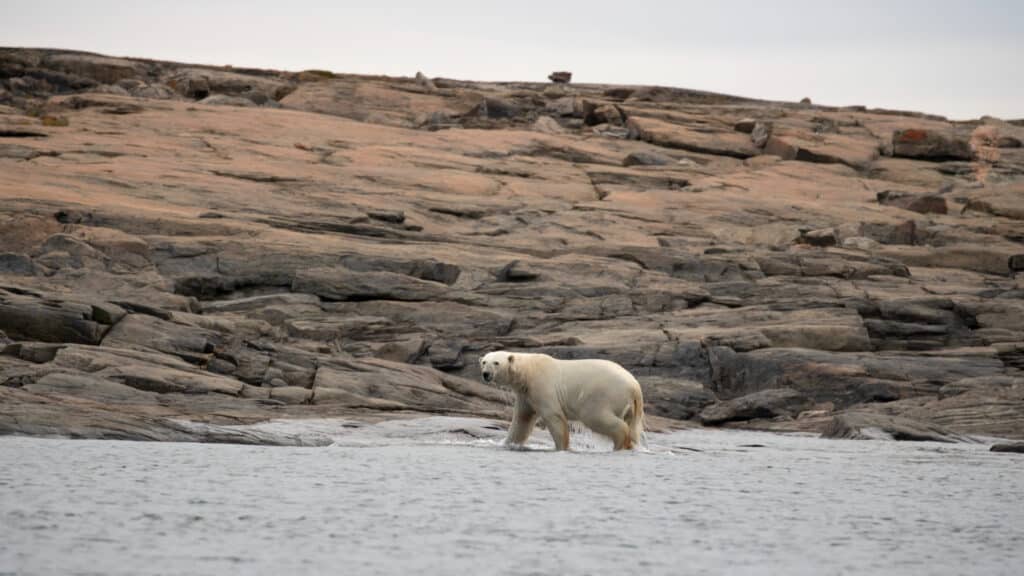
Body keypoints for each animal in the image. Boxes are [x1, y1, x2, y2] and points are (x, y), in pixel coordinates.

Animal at [479, 351, 645, 451]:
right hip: (630, 406)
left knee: (597, 417)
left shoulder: (542, 385)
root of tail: (635, 387)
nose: (486, 374)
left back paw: (619, 444)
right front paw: (508, 444)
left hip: (603, 394)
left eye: (496, 363)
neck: (529, 370)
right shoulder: (526, 394)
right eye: (484, 362)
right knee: (632, 426)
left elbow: (554, 416)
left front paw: (562, 448)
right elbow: (522, 421)